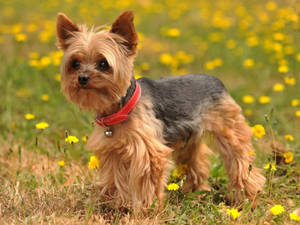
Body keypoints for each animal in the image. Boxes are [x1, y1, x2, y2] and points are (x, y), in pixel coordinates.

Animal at [55, 11, 264, 209]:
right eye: (75, 63)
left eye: (103, 64)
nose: (82, 78)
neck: (119, 108)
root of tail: (215, 79)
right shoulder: (112, 151)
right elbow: (115, 178)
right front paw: (115, 205)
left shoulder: (148, 151)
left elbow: (146, 182)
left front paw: (146, 208)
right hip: (188, 140)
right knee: (196, 164)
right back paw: (195, 192)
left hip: (228, 127)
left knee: (240, 160)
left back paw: (247, 196)